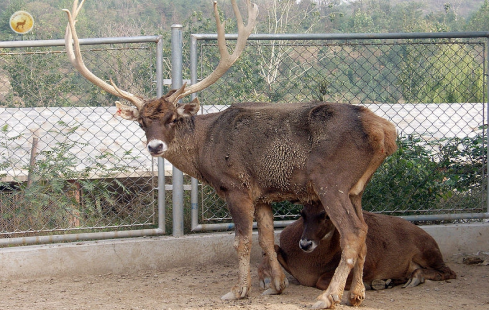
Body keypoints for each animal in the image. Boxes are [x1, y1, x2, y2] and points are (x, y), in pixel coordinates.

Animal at [62, 0, 396, 310]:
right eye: (142, 122)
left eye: (172, 118)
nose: (155, 147)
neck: (204, 147)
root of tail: (384, 130)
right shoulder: (263, 194)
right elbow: (266, 238)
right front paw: (276, 286)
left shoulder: (236, 186)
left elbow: (241, 241)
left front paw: (239, 290)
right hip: (355, 188)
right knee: (365, 230)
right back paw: (356, 294)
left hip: (331, 180)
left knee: (353, 233)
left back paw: (328, 296)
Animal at [258, 204, 456, 296]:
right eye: (302, 213)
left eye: (326, 215)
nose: (306, 244)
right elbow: (273, 247)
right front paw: (267, 281)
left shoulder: (369, 265)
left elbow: (322, 281)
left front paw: (365, 285)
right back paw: (391, 281)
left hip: (428, 253)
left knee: (448, 271)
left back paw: (414, 278)